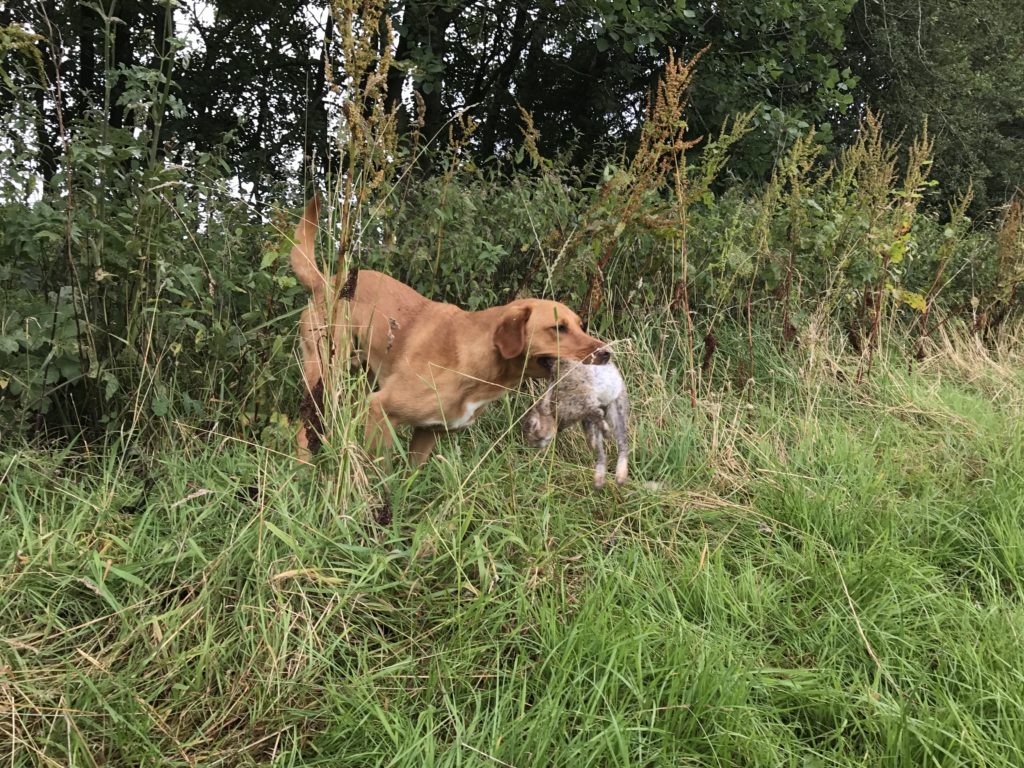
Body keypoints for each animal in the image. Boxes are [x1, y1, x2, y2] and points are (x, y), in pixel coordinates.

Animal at [288, 196, 606, 462]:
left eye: (580, 326)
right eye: (558, 328)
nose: (606, 354)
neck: (480, 363)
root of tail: (327, 283)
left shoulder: (429, 431)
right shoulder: (381, 410)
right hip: (325, 374)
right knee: (303, 430)